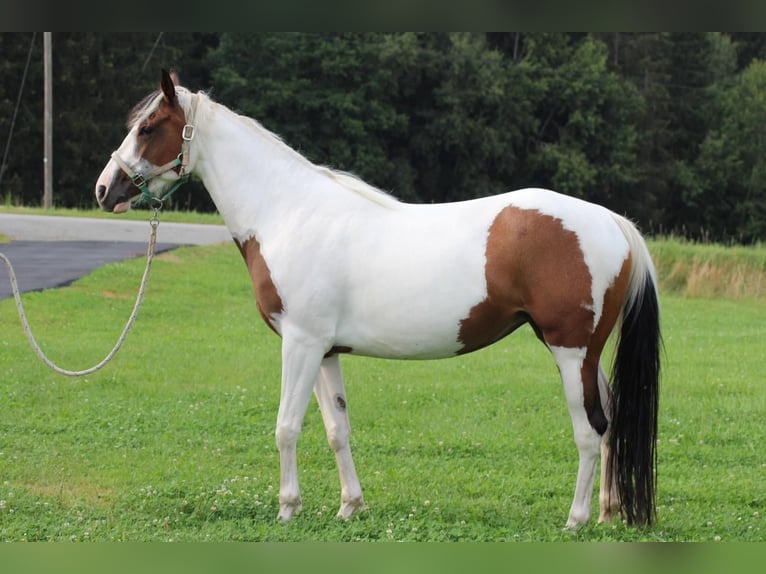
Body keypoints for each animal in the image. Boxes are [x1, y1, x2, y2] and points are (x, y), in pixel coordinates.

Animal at [94, 70, 660, 528]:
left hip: (569, 350)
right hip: (584, 354)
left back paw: (577, 519)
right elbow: (335, 429)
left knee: (589, 430)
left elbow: (286, 426)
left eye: (149, 128)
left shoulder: (300, 344)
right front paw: (350, 506)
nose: (104, 189)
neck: (287, 211)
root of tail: (612, 221)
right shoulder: (324, 351)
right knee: (609, 425)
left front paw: (287, 508)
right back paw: (608, 513)